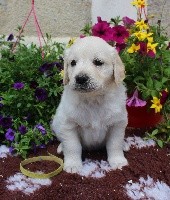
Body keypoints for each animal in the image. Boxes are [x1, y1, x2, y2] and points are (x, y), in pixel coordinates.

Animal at [51, 36, 128, 173]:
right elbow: (72, 146)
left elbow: (115, 144)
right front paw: (73, 164)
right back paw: (61, 147)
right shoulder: (68, 125)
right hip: (56, 123)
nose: (80, 78)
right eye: (73, 63)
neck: (93, 99)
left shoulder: (117, 123)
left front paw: (118, 161)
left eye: (98, 62)